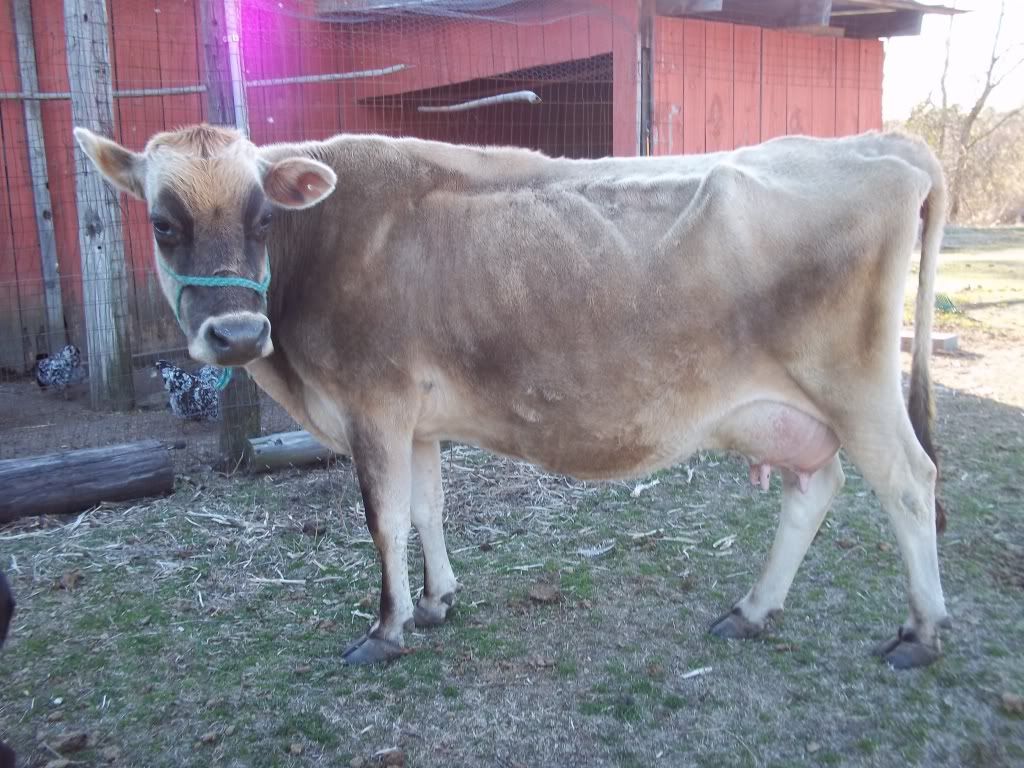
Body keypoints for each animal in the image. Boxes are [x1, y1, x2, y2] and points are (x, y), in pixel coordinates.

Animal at [74, 124, 950, 669]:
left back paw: (921, 630)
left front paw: (386, 628)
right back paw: (754, 610)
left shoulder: (373, 403)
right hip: (795, 409)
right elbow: (426, 509)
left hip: (856, 388)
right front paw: (436, 602)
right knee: (817, 485)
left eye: (262, 217)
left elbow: (383, 519)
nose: (233, 334)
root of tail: (884, 145)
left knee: (909, 485)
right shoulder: (416, 419)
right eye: (163, 223)